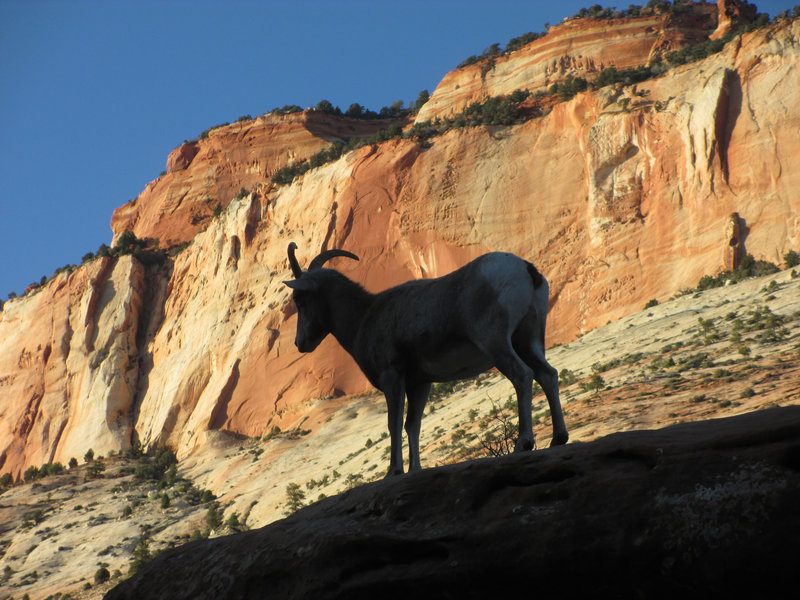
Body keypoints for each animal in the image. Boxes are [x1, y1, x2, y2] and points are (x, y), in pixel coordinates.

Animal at [284, 243, 564, 474]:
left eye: (299, 299)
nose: (300, 343)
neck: (363, 317)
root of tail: (527, 270)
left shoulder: (392, 377)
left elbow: (394, 423)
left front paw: (394, 471)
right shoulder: (419, 384)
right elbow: (413, 425)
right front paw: (414, 470)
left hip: (497, 344)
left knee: (523, 375)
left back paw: (523, 443)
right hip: (529, 341)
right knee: (548, 375)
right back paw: (558, 438)